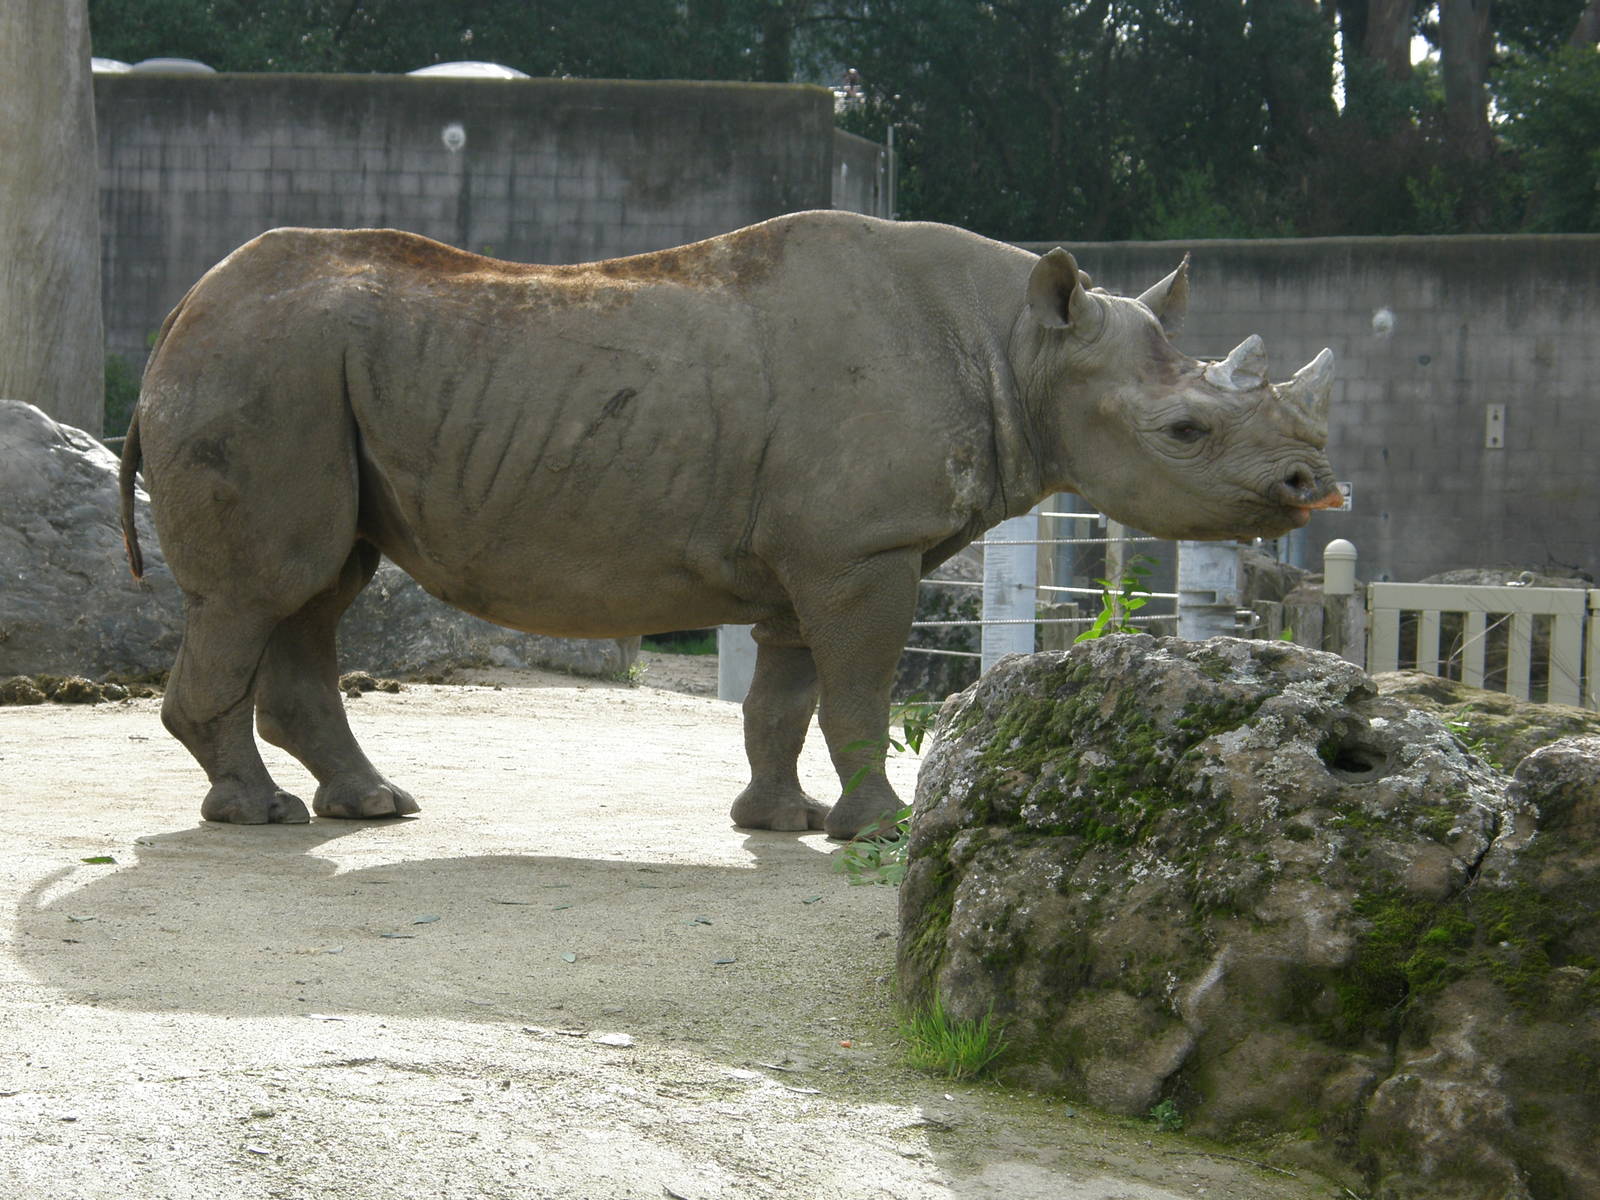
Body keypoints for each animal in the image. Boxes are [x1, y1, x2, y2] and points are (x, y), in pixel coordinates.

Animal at [118, 210, 1341, 838]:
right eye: (1185, 431)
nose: (1310, 486)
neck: (1020, 348)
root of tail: (173, 316)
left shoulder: (821, 555)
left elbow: (785, 700)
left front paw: (778, 821)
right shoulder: (864, 549)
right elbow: (858, 697)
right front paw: (881, 830)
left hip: (303, 375)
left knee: (318, 590)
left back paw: (369, 808)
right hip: (262, 367)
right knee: (263, 590)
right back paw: (257, 816)